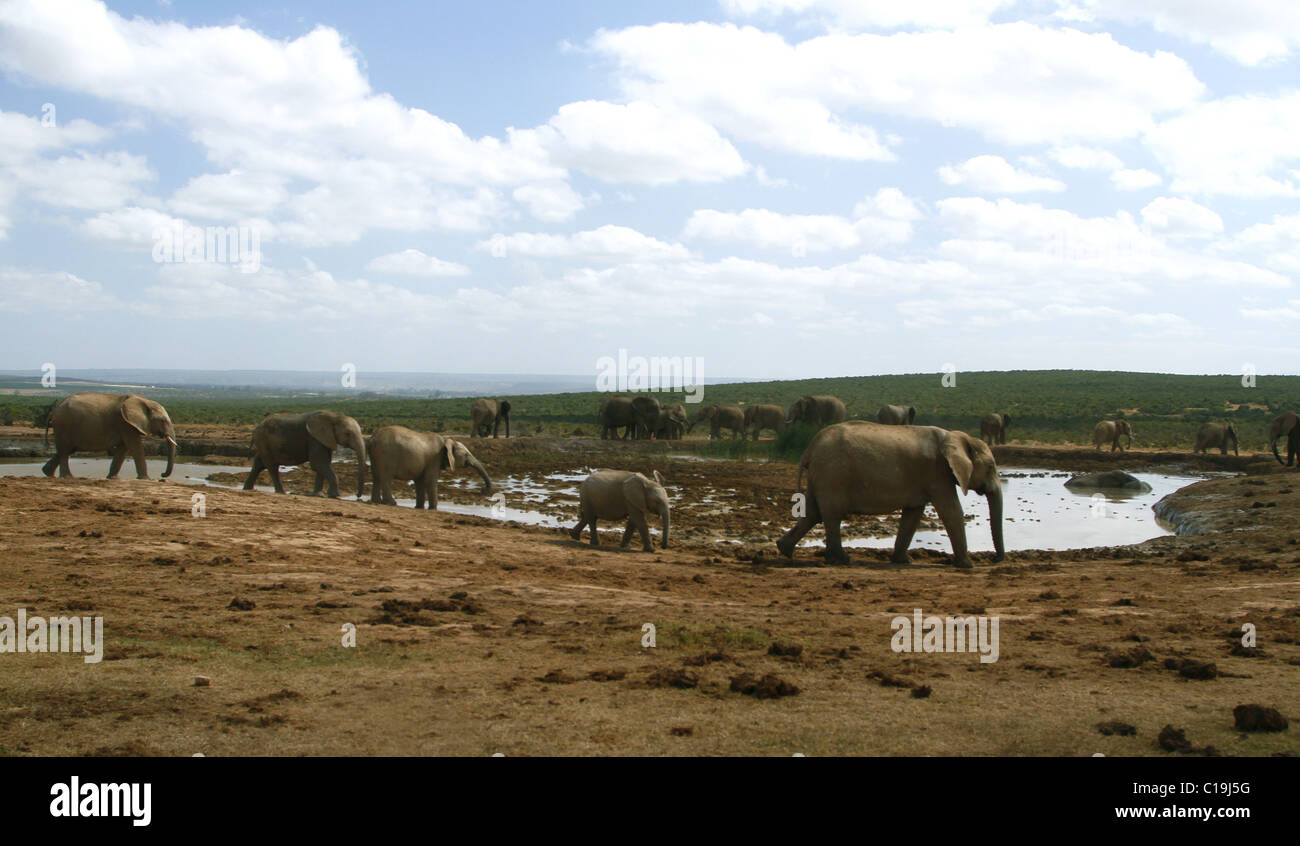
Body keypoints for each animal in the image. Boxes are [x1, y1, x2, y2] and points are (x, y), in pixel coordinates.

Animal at [41, 395, 176, 480]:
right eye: (162, 420)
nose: (162, 474)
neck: (144, 401)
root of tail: (54, 411)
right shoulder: (125, 423)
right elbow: (134, 447)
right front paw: (146, 479)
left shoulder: (126, 425)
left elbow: (123, 449)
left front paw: (113, 478)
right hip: (64, 425)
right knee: (65, 451)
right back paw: (67, 477)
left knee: (66, 450)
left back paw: (48, 473)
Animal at [769, 421, 1003, 569]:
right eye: (991, 467)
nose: (996, 560)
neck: (957, 436)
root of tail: (811, 446)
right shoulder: (938, 473)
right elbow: (951, 511)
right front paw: (968, 566)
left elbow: (913, 514)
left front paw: (903, 561)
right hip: (833, 474)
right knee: (832, 515)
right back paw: (842, 560)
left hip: (822, 474)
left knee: (813, 513)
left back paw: (785, 550)